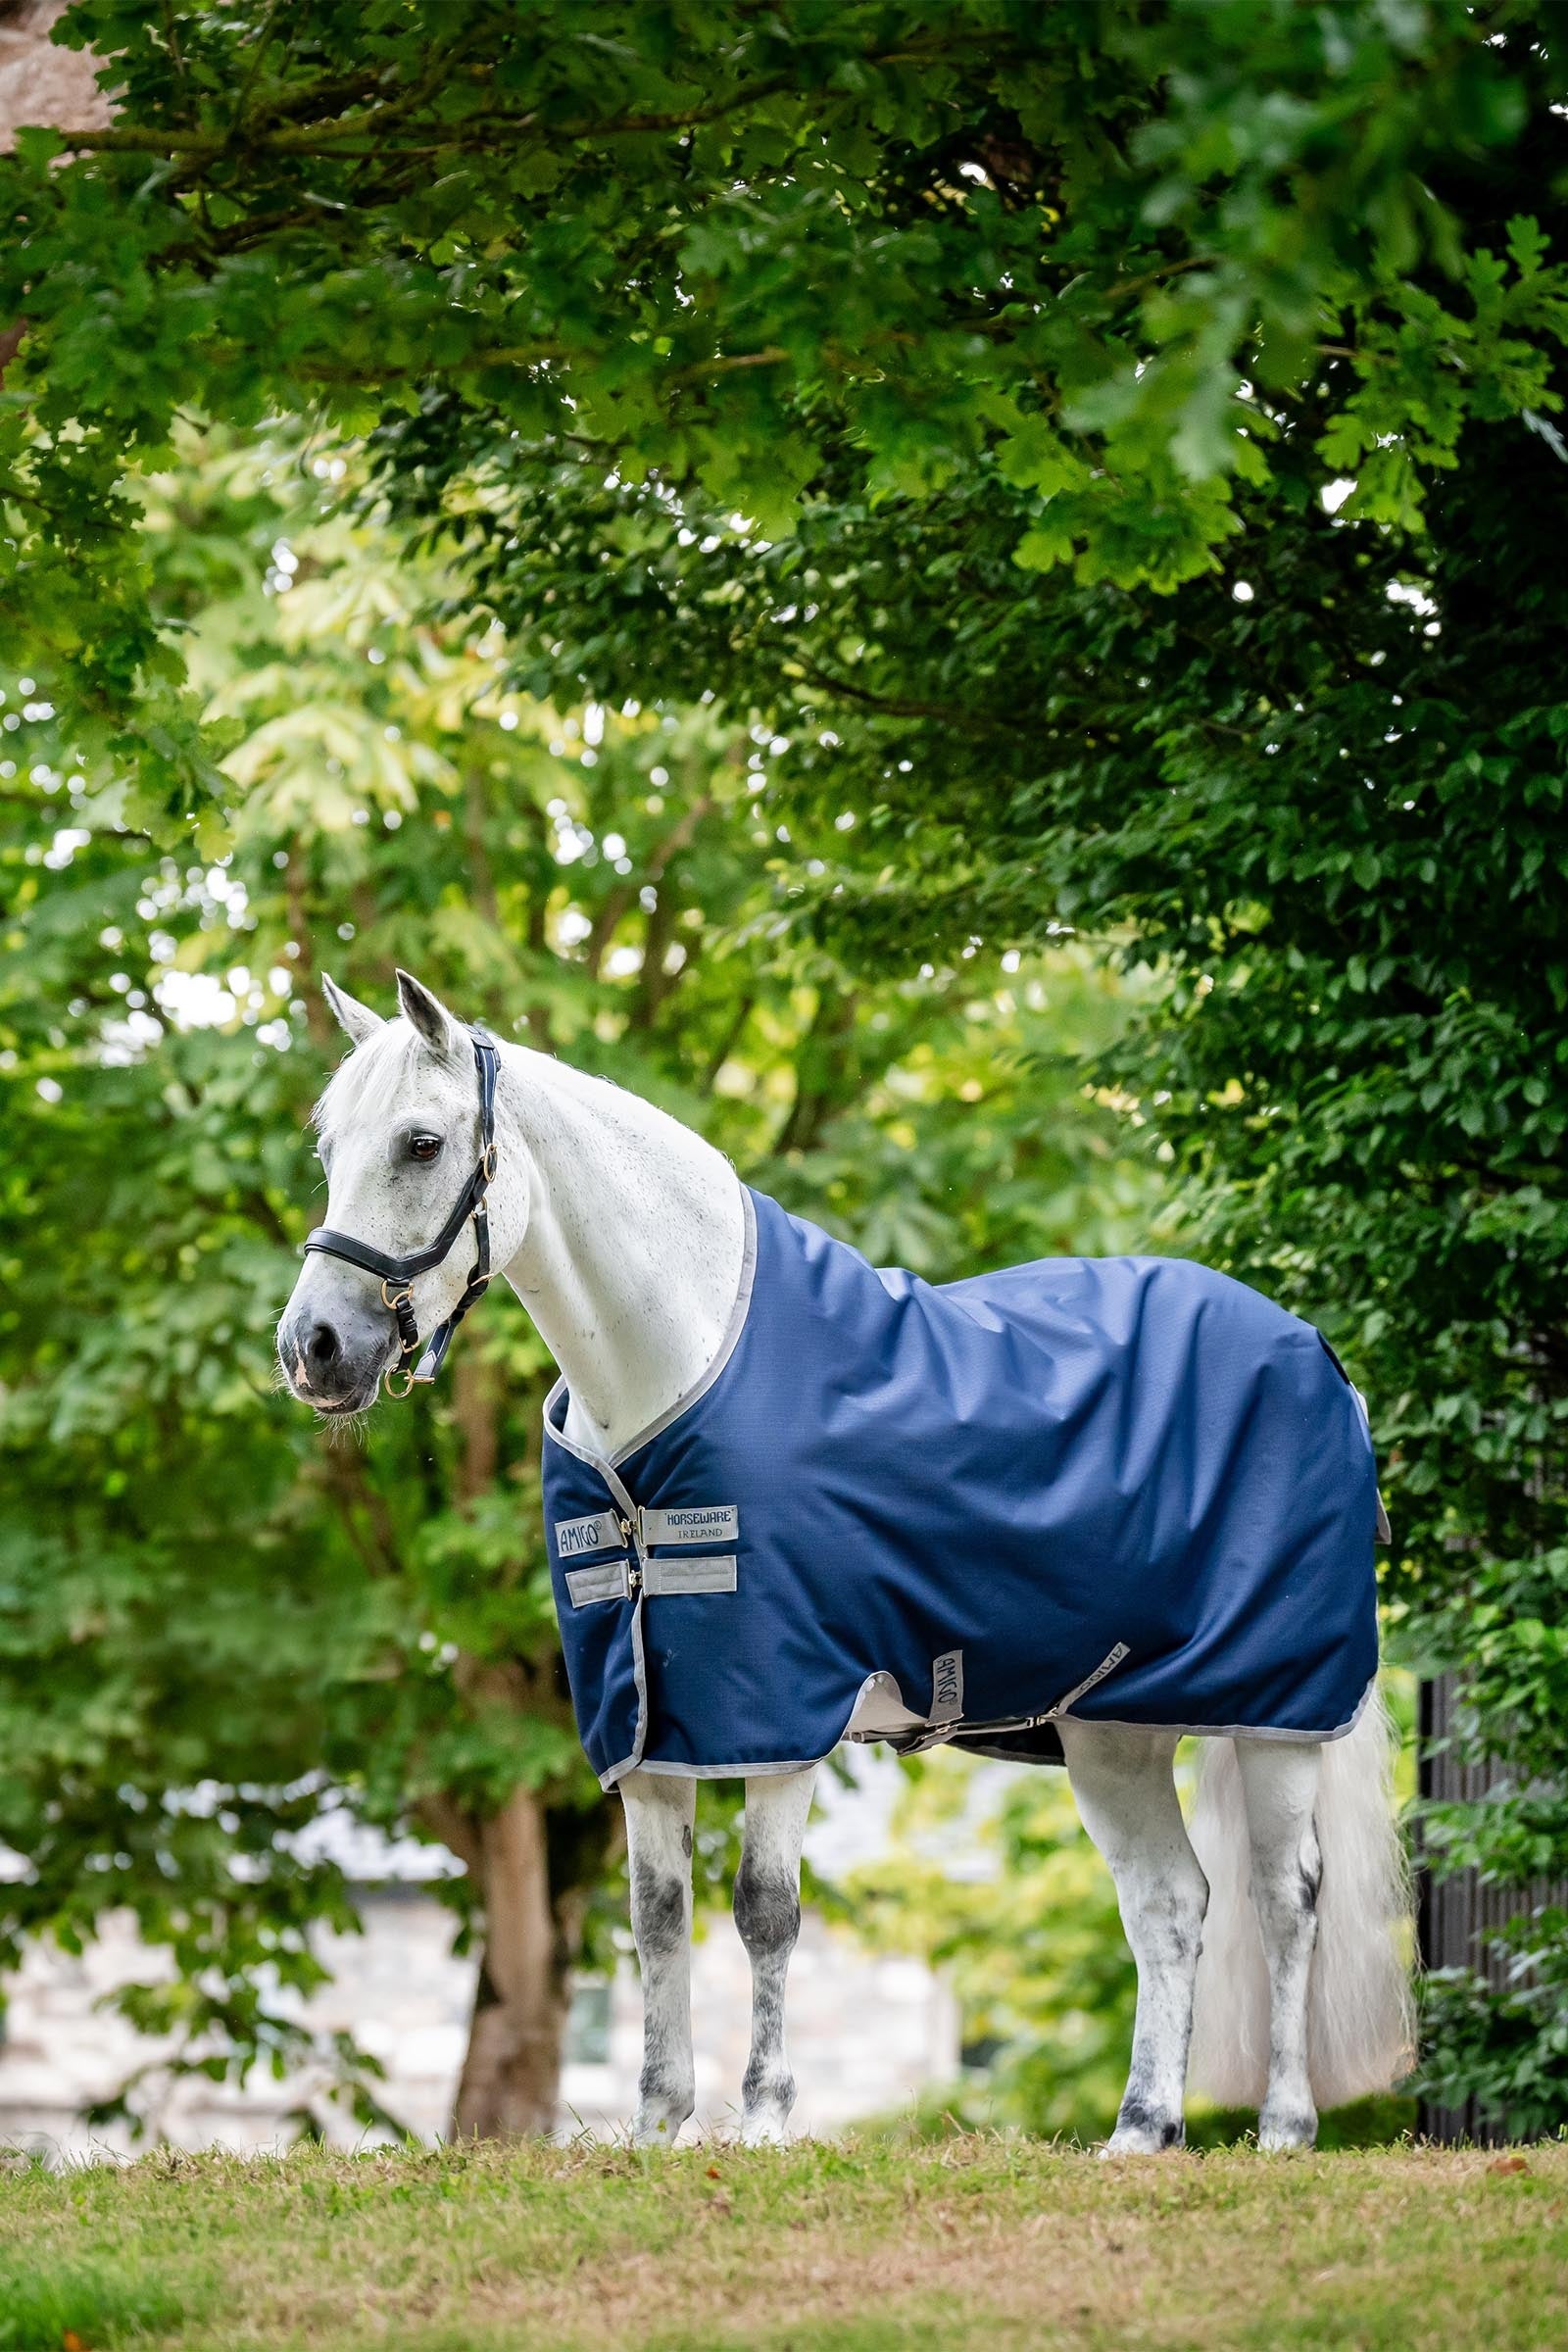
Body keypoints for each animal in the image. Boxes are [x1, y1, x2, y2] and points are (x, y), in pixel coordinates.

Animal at [277, 968, 1415, 2153]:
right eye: (328, 1146)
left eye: (420, 1143)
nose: (314, 1349)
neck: (676, 1376)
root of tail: (1318, 1359)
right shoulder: (648, 1728)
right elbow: (655, 1918)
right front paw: (657, 2127)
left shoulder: (781, 1710)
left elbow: (763, 1911)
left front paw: (765, 2121)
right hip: (1113, 1734)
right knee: (1169, 1905)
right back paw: (1142, 2130)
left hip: (1276, 1713)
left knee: (1286, 1899)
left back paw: (1283, 2127)